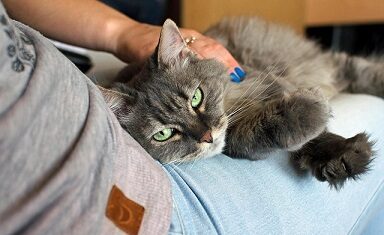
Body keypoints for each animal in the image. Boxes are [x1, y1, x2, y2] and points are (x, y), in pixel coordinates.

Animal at [98, 17, 380, 188]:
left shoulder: (267, 82)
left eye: (197, 97)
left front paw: (343, 154)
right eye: (164, 134)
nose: (207, 137)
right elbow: (251, 135)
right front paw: (310, 115)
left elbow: (316, 135)